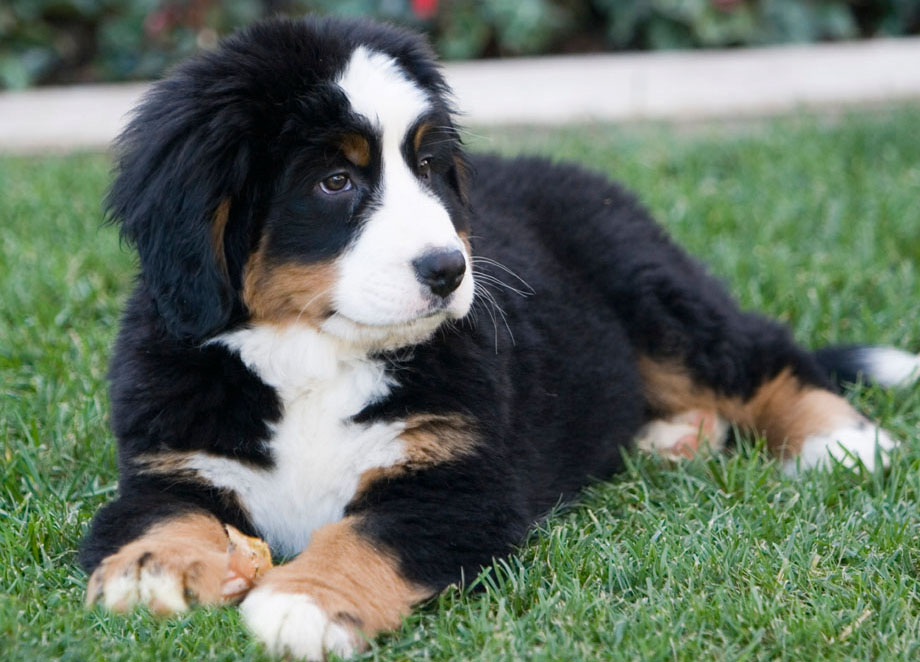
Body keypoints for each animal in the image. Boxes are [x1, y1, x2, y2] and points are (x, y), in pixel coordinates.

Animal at [81, 13, 920, 660]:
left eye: (428, 167)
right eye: (334, 181)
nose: (449, 269)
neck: (315, 362)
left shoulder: (459, 486)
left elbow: (366, 535)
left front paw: (304, 603)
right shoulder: (170, 461)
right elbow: (157, 512)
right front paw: (151, 568)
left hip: (649, 288)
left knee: (757, 353)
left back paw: (840, 440)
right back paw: (674, 435)